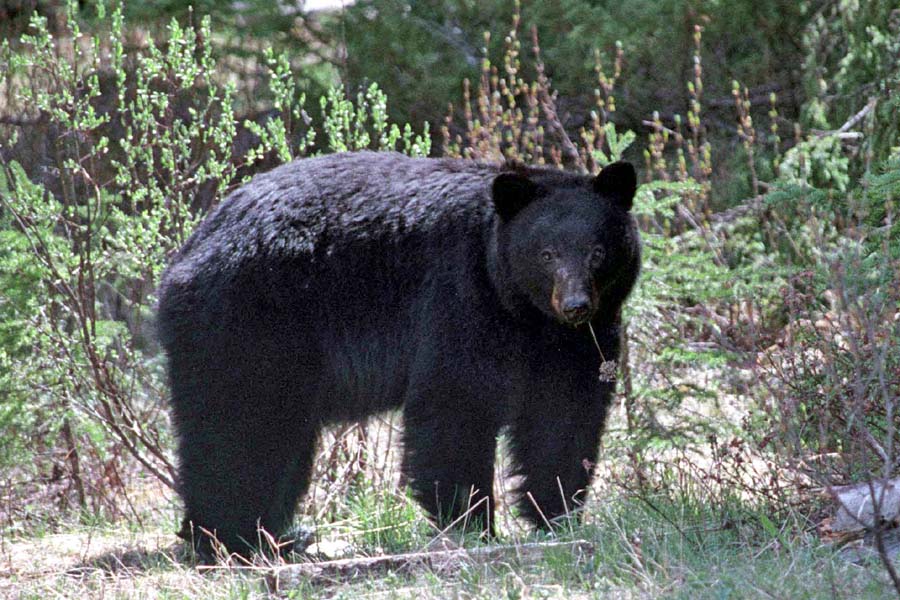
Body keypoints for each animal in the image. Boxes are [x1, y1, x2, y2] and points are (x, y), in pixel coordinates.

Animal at [156, 150, 641, 559]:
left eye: (598, 252)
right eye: (546, 254)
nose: (576, 305)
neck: (526, 314)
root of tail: (189, 250)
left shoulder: (580, 341)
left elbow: (563, 417)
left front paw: (556, 516)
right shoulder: (460, 296)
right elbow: (455, 403)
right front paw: (472, 524)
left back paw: (275, 538)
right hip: (247, 323)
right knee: (238, 431)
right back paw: (229, 539)